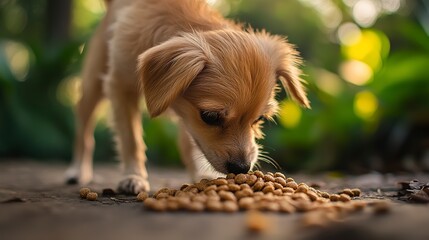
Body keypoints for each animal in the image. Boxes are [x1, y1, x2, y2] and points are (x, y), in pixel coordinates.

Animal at [65, 0, 310, 195]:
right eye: (210, 117)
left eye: (259, 119)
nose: (242, 168)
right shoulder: (120, 87)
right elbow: (131, 139)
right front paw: (133, 176)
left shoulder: (188, 115)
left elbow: (190, 143)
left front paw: (203, 175)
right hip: (93, 83)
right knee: (84, 128)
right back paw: (78, 169)